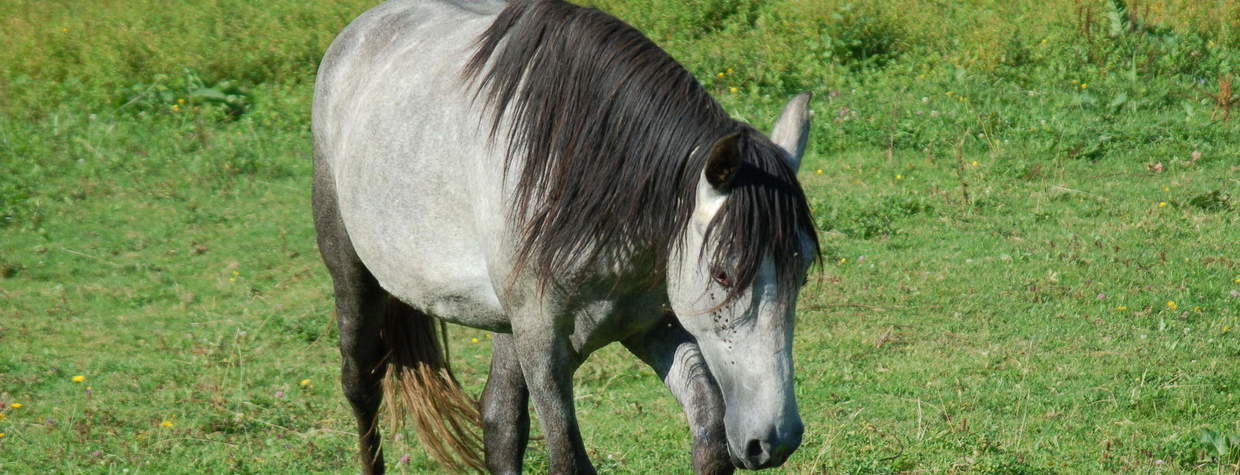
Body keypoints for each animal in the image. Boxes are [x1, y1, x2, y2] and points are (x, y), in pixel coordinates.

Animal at [307, 0, 823, 471]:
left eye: (800, 277)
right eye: (722, 275)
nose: (775, 440)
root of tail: (359, 31)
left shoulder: (653, 327)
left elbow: (710, 432)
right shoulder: (544, 349)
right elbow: (568, 458)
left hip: (507, 325)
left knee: (500, 422)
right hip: (354, 278)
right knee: (361, 385)